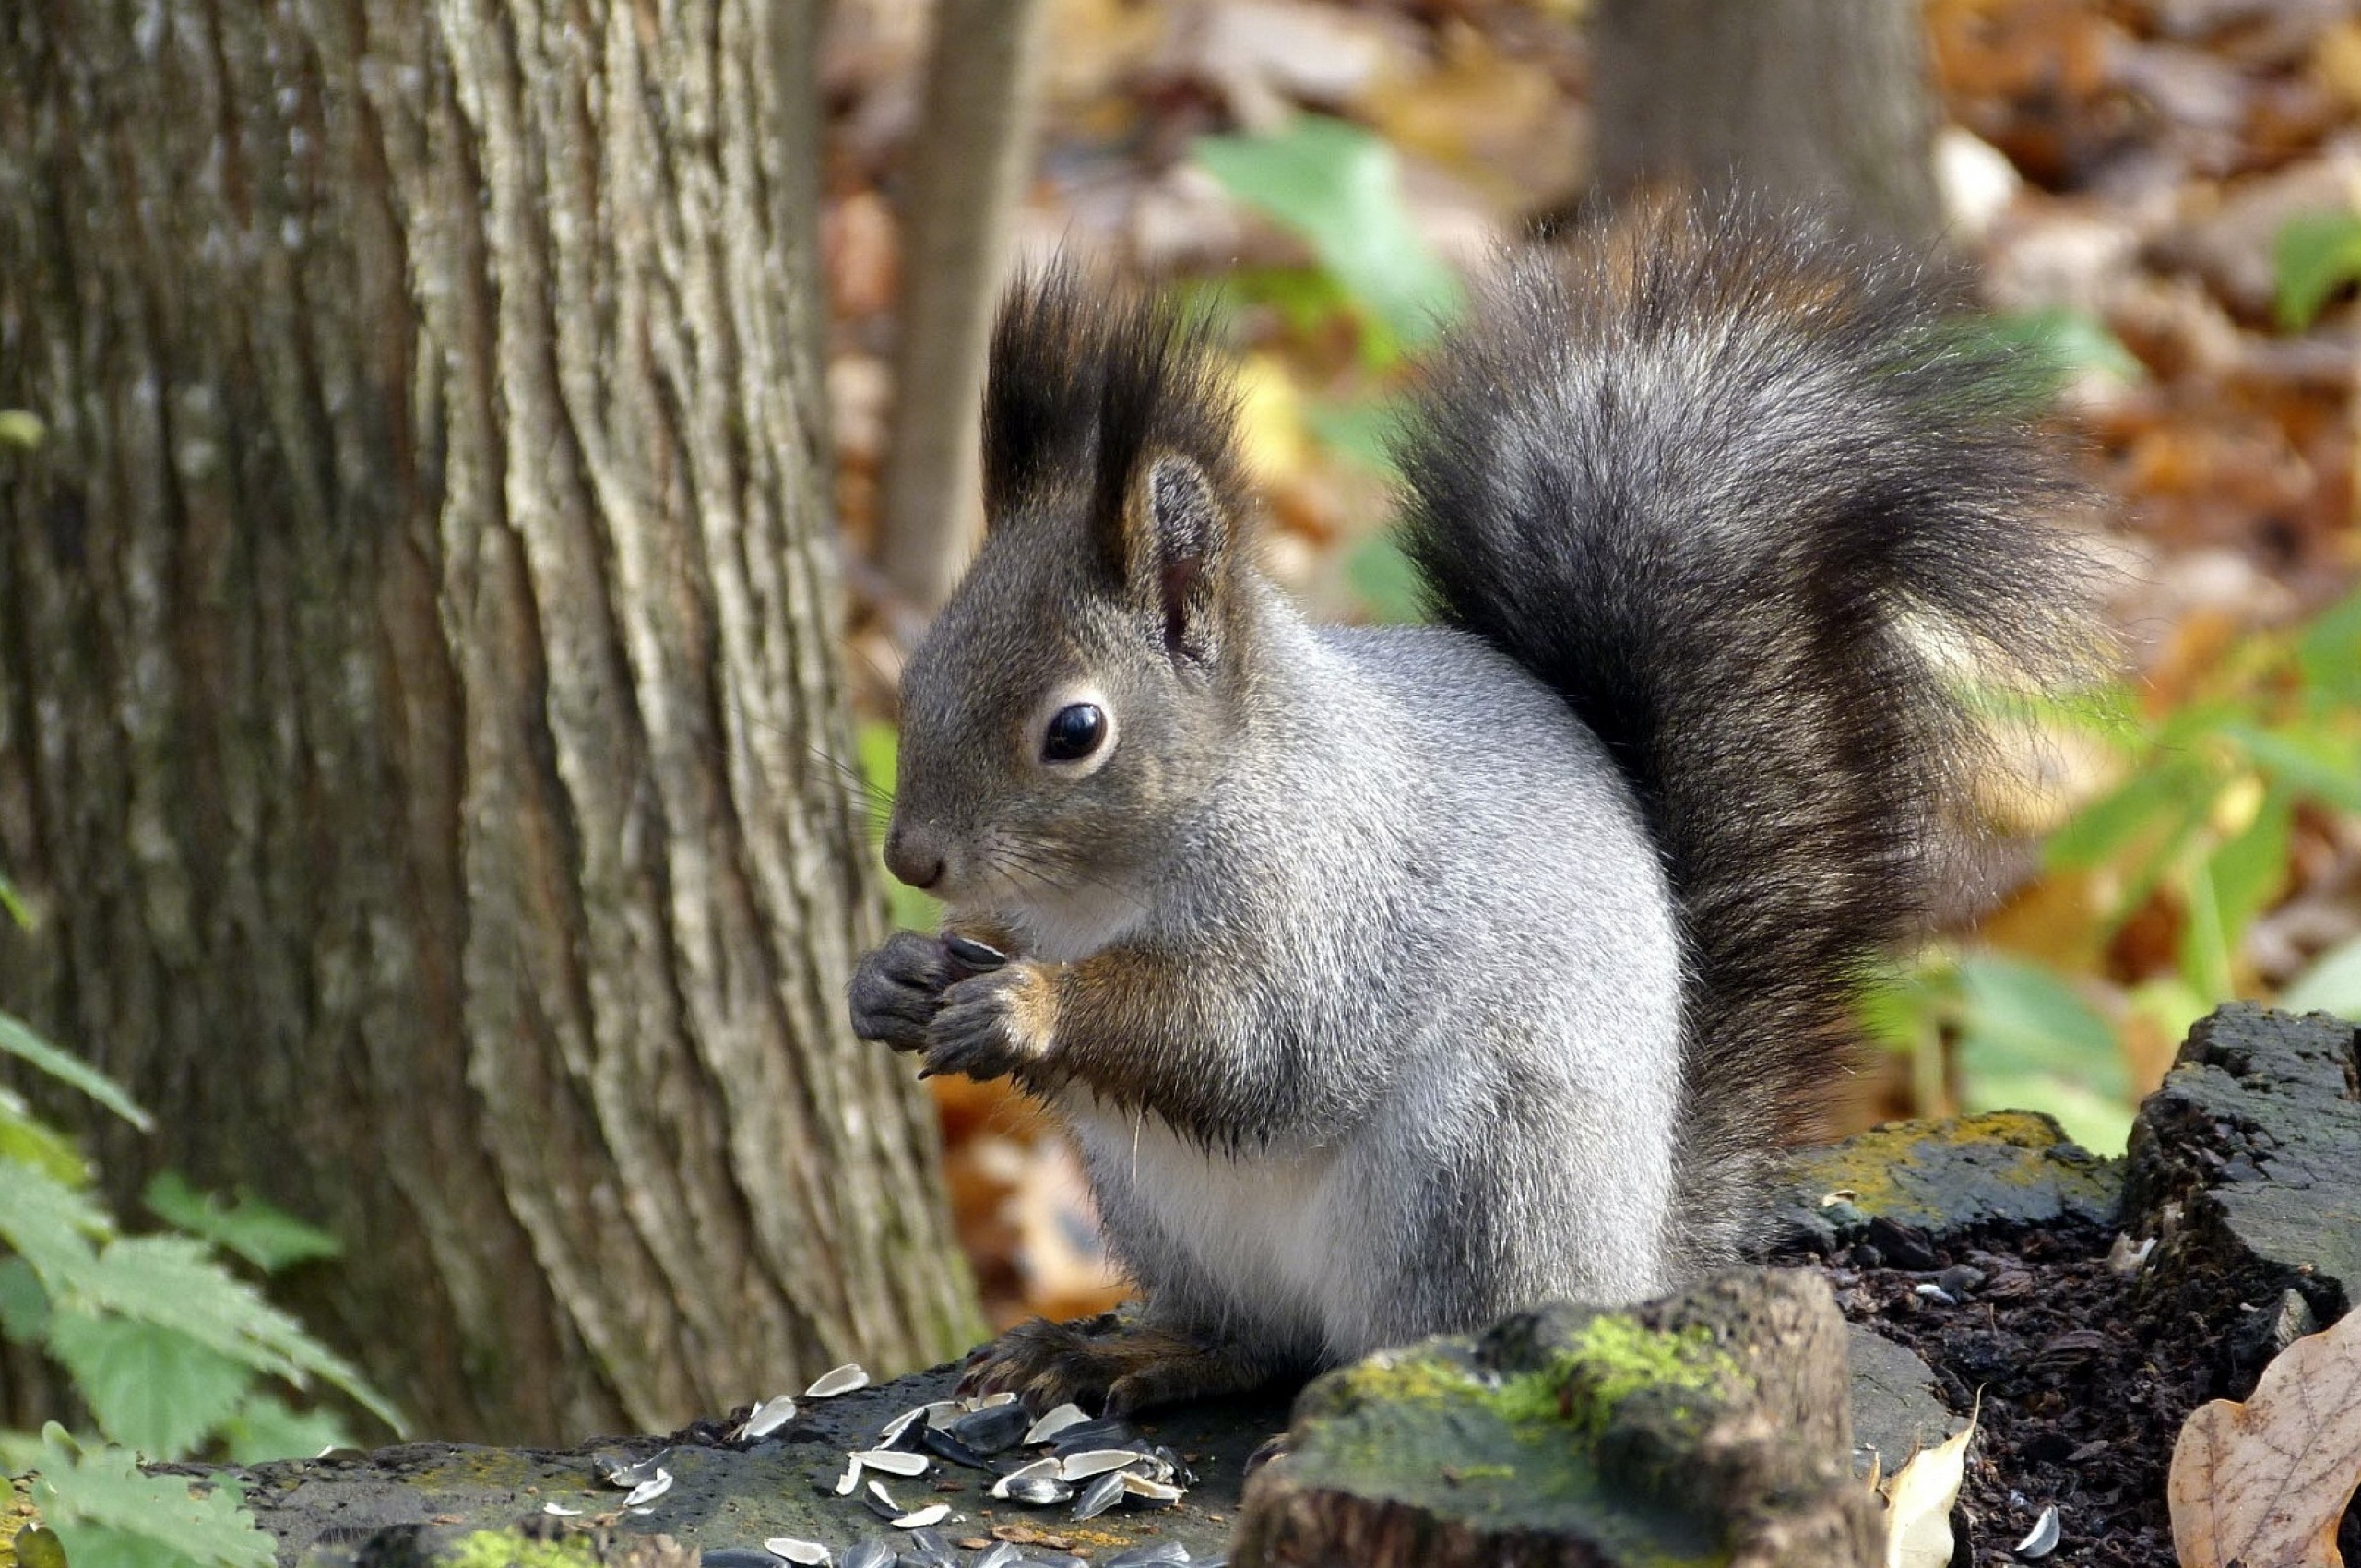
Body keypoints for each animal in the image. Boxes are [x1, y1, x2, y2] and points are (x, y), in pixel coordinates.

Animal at [854, 199, 2106, 1417]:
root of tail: (1632, 1260)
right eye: (919, 668)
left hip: (1473, 1172)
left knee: (1400, 1340)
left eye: (1075, 731)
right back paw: (1133, 1354)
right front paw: (899, 975)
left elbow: (1251, 1042)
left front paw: (1026, 1003)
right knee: (1258, 1341)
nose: (911, 859)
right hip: (1167, 1208)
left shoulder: (1327, 901)